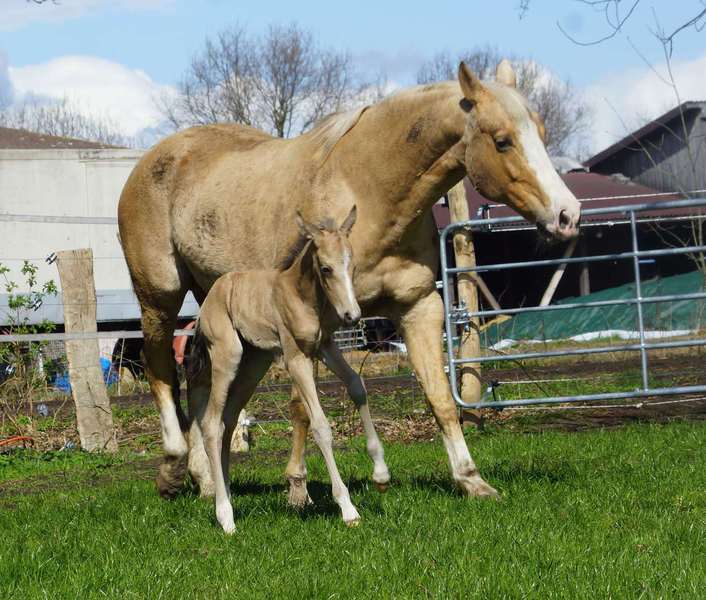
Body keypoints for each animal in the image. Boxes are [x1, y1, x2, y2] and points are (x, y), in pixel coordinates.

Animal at [188, 207, 363, 533]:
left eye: (352, 265)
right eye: (326, 268)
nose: (352, 316)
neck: (300, 294)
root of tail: (207, 301)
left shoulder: (324, 347)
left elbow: (357, 384)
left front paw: (381, 473)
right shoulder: (296, 358)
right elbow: (321, 425)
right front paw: (348, 509)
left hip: (252, 367)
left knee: (228, 421)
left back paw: (227, 493)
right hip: (228, 357)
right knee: (211, 424)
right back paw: (225, 516)